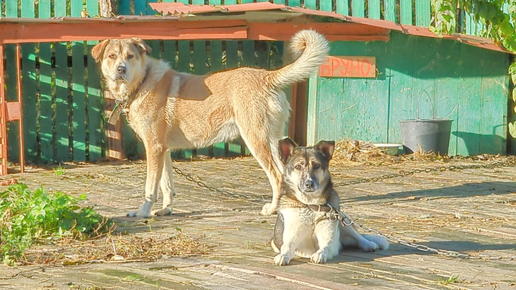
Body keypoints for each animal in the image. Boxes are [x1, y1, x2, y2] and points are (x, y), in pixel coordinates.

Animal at [90, 31, 328, 218]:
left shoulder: (154, 148)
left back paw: (272, 210)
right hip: (274, 141)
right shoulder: (163, 150)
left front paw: (143, 212)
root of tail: (266, 77)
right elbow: (167, 185)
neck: (143, 82)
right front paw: (166, 210)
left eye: (130, 56)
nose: (121, 69)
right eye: (112, 56)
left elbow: (151, 187)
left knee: (277, 177)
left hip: (256, 140)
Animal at [272, 138, 390, 266]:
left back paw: (369, 244)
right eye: (298, 167)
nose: (309, 183)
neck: (312, 206)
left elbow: (326, 247)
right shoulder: (291, 238)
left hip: (343, 220)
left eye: (317, 165)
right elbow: (287, 247)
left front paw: (319, 254)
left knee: (358, 237)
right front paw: (282, 256)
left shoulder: (329, 239)